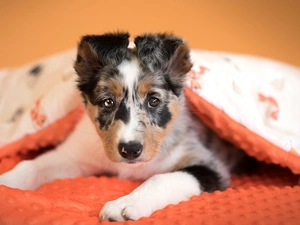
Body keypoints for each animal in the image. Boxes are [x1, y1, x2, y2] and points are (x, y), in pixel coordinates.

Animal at [0, 31, 251, 221]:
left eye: (154, 101)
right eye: (107, 102)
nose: (130, 150)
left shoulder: (209, 165)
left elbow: (162, 178)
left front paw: (125, 204)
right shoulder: (73, 156)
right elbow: (31, 164)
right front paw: (7, 181)